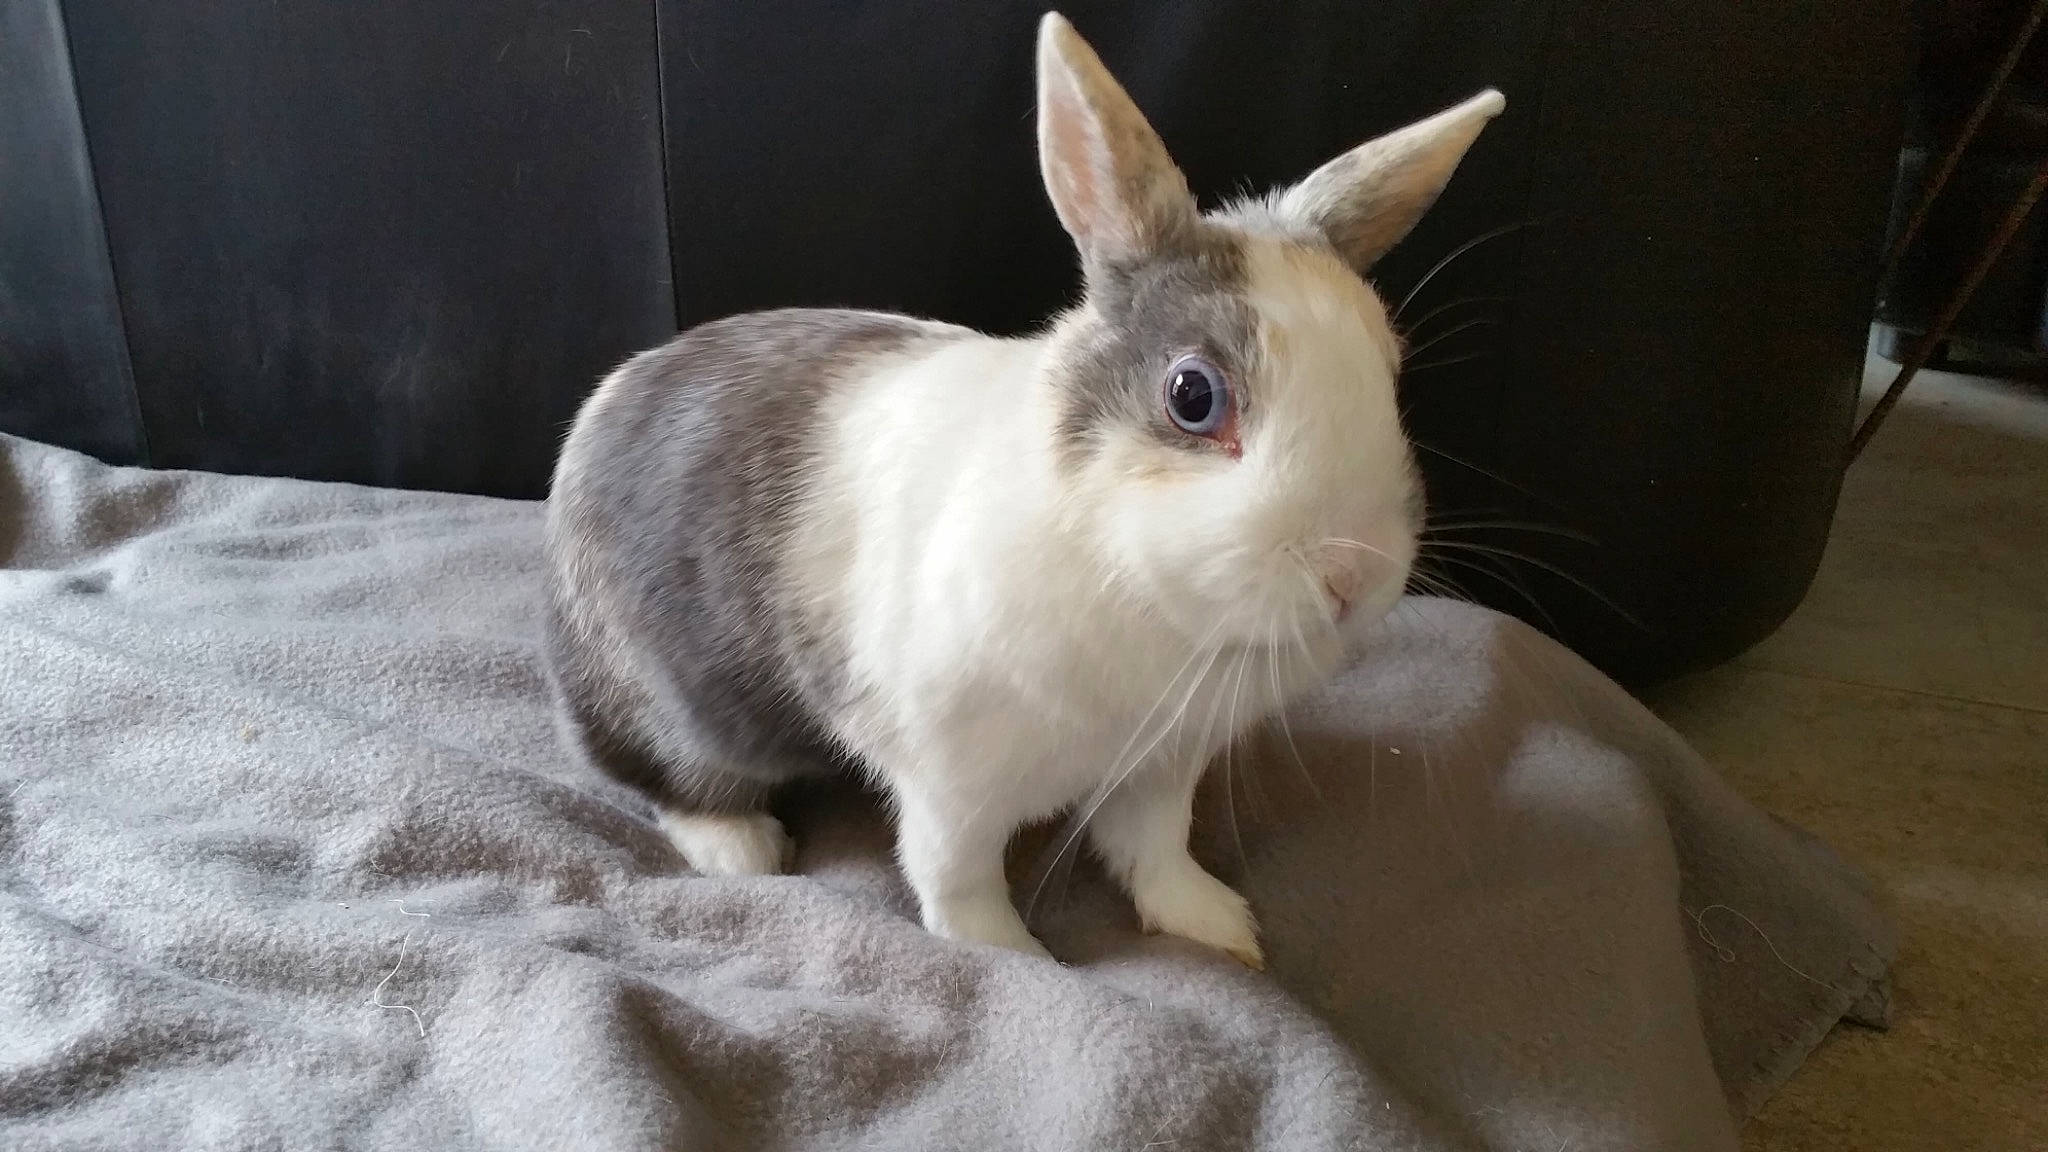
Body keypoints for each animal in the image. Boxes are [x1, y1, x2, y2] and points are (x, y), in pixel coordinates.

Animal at [542, 10, 1503, 967]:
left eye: (1390, 372)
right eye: (1194, 396)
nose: (1355, 577)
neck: (1138, 589)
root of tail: (608, 400)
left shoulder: (1161, 766)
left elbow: (1156, 849)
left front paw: (1219, 929)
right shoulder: (950, 783)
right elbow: (957, 880)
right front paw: (1015, 957)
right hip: (677, 708)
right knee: (665, 775)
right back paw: (741, 849)